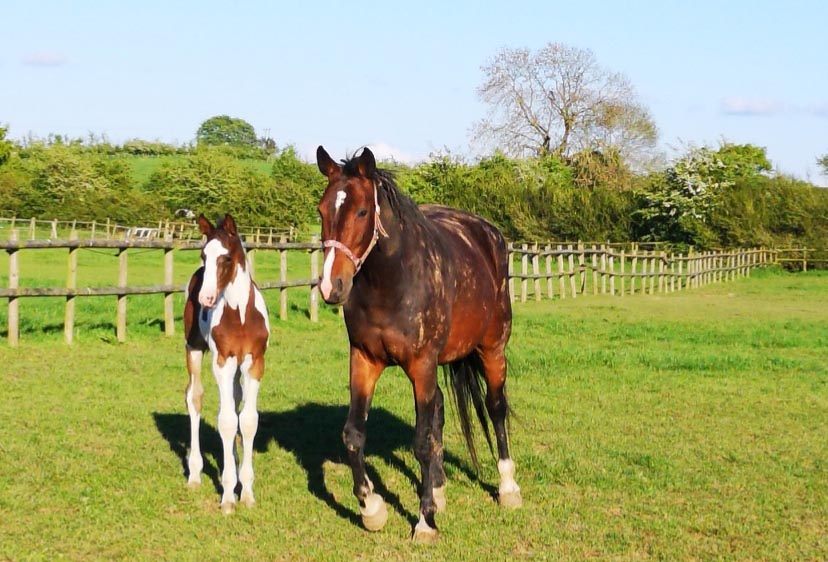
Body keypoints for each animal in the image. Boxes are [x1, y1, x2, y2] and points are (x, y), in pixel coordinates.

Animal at [182, 212, 270, 510]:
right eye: (203, 255)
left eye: (227, 258)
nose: (206, 298)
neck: (241, 315)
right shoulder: (222, 362)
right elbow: (227, 422)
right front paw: (229, 497)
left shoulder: (254, 362)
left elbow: (248, 420)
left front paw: (247, 492)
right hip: (194, 348)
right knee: (194, 397)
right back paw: (195, 474)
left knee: (234, 399)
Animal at [314, 147, 520, 540]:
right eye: (321, 210)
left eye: (362, 212)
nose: (332, 286)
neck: (393, 282)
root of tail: (488, 234)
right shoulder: (364, 360)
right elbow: (353, 434)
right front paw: (372, 509)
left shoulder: (422, 364)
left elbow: (422, 442)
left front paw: (425, 521)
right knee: (438, 410)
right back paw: (437, 489)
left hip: (493, 349)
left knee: (495, 407)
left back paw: (508, 488)